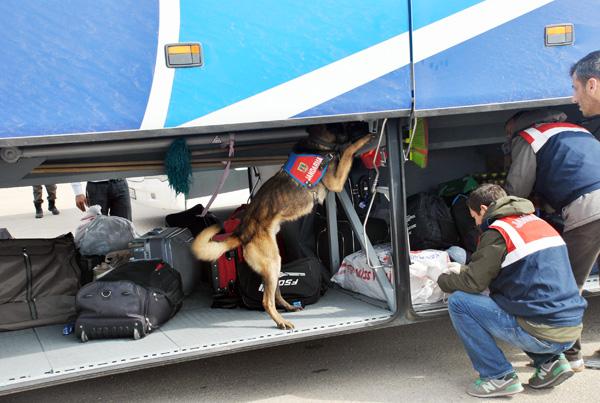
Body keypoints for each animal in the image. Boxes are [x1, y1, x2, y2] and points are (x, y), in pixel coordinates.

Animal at [192, 124, 372, 330]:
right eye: (350, 125)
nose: (366, 128)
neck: (318, 143)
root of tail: (241, 233)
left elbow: (345, 152)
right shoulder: (335, 182)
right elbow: (348, 151)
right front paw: (362, 141)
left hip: (274, 265)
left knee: (276, 295)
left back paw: (288, 307)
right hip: (272, 263)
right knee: (266, 301)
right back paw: (281, 321)